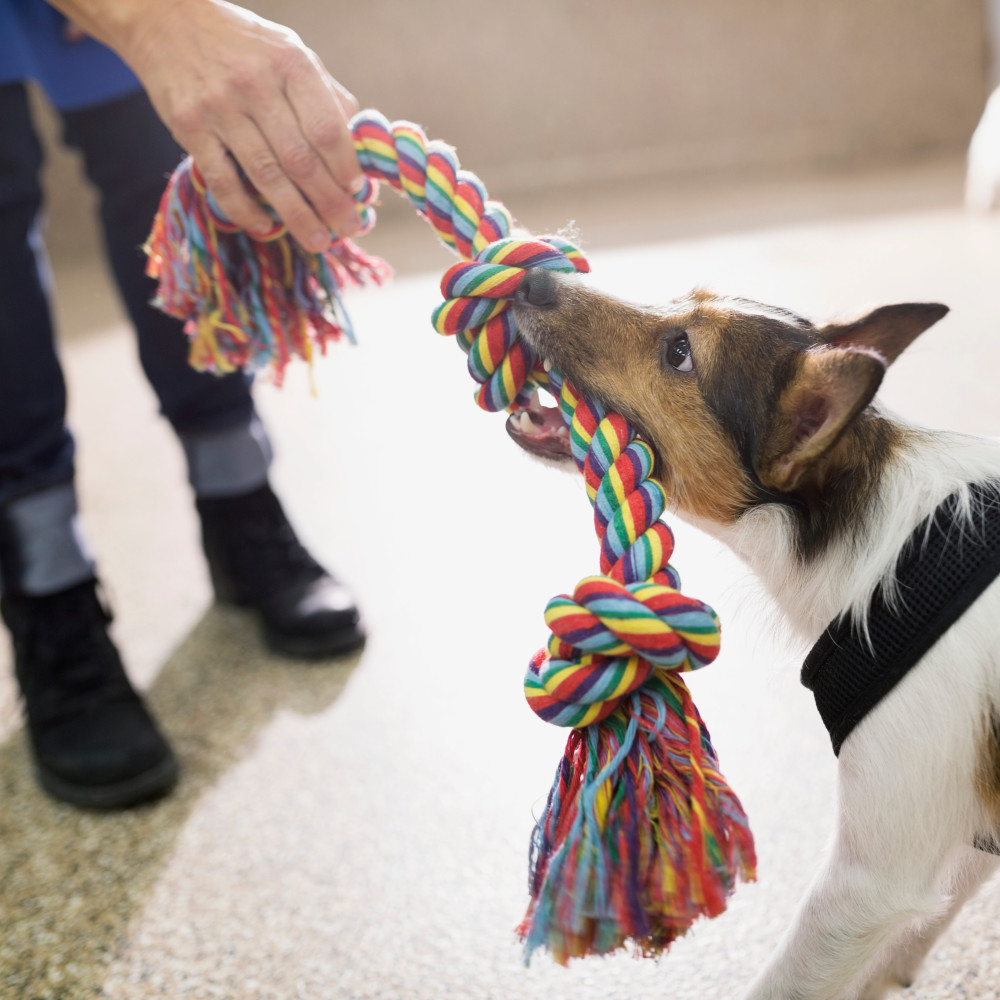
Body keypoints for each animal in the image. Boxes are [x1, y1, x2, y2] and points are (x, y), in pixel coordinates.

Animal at [504, 268, 1000, 1000]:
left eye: (681, 352)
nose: (534, 277)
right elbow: (932, 913)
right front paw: (889, 975)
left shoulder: (868, 881)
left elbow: (787, 980)